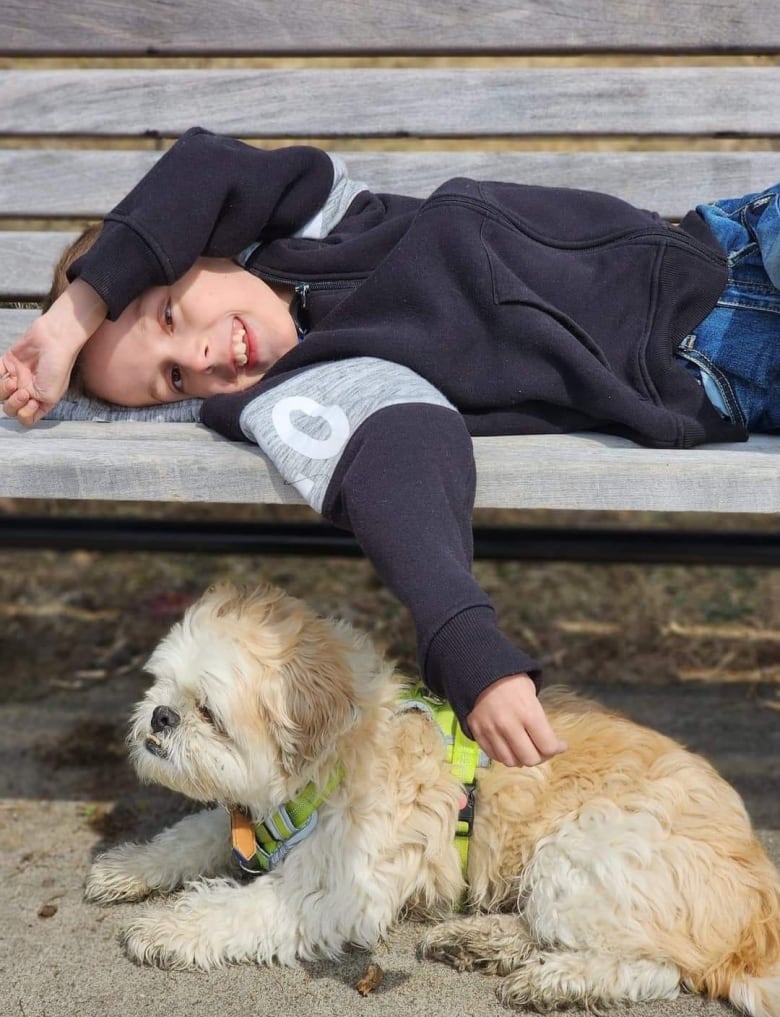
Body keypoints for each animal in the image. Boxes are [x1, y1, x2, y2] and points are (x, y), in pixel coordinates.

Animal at [86, 585, 780, 1012]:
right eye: (161, 686)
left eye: (209, 712)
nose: (162, 717)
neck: (335, 761)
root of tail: (757, 914)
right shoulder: (251, 823)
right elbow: (190, 834)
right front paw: (128, 867)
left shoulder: (340, 890)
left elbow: (241, 908)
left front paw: (169, 926)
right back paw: (483, 941)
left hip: (586, 847)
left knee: (655, 966)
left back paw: (556, 980)